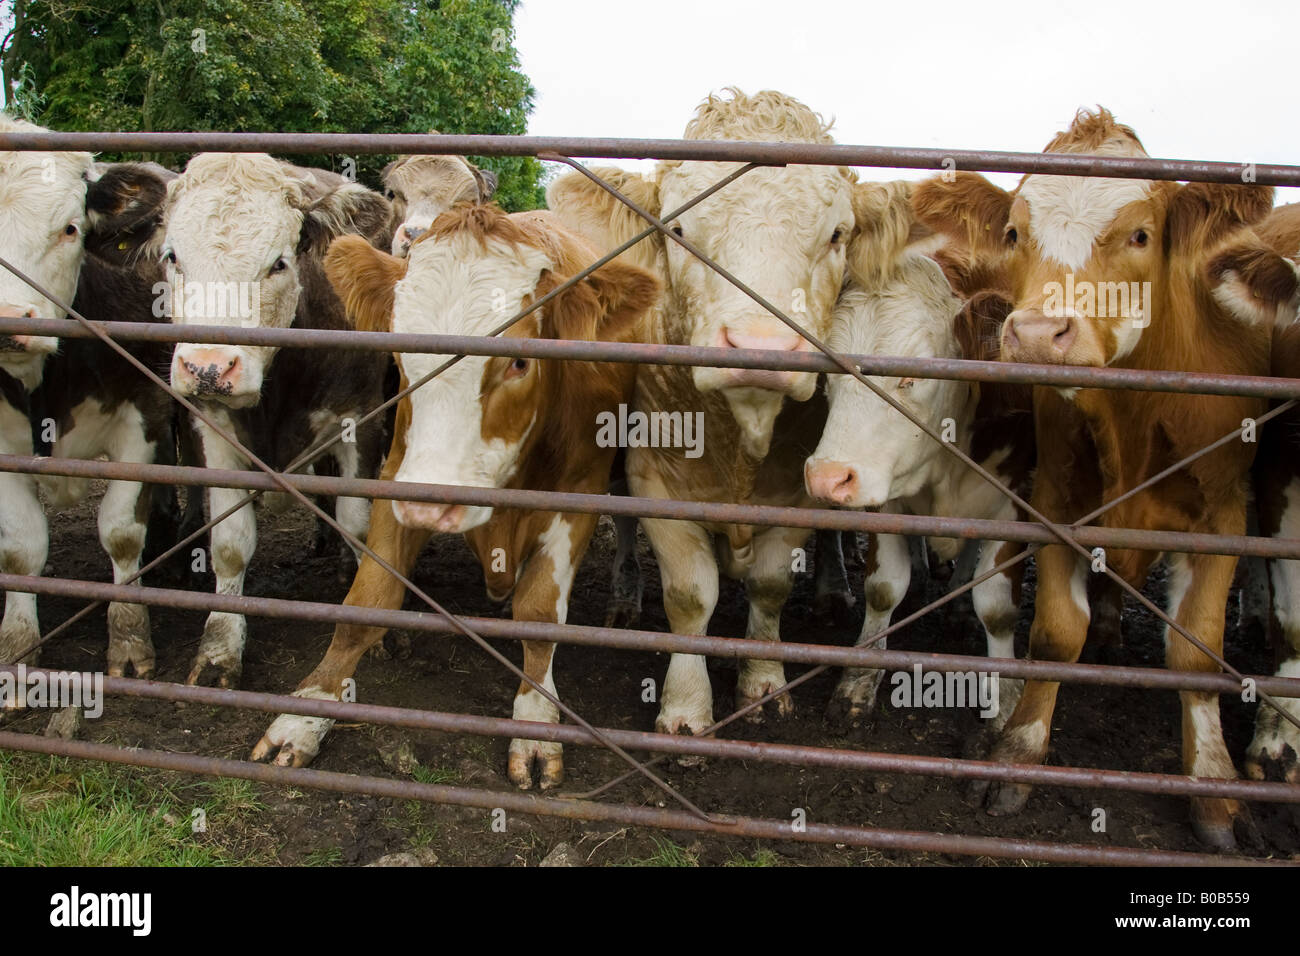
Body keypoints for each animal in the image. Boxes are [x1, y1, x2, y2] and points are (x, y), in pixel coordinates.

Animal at [250, 200, 660, 785]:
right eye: (402, 353)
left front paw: (536, 724)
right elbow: (366, 601)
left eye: (519, 360)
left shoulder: (577, 493)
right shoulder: (399, 477)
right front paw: (307, 710)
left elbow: (539, 613)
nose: (434, 501)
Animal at [915, 108, 1289, 848]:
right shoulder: (1056, 498)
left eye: (1140, 234)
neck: (1132, 421)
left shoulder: (1223, 514)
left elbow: (1195, 652)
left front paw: (1213, 789)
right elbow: (1057, 632)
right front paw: (1019, 755)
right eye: (1014, 234)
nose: (1036, 334)